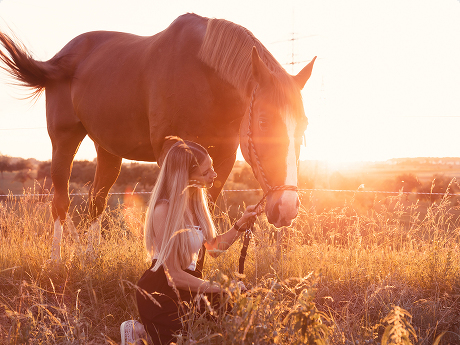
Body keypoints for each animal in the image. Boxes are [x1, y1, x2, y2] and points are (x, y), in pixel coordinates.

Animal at [0, 13, 316, 260]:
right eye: (263, 121)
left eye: (304, 125)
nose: (287, 207)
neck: (205, 78)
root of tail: (59, 59)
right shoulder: (171, 153)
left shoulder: (222, 160)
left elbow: (206, 212)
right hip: (64, 140)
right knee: (61, 202)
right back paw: (59, 259)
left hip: (107, 149)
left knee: (96, 200)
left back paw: (90, 257)